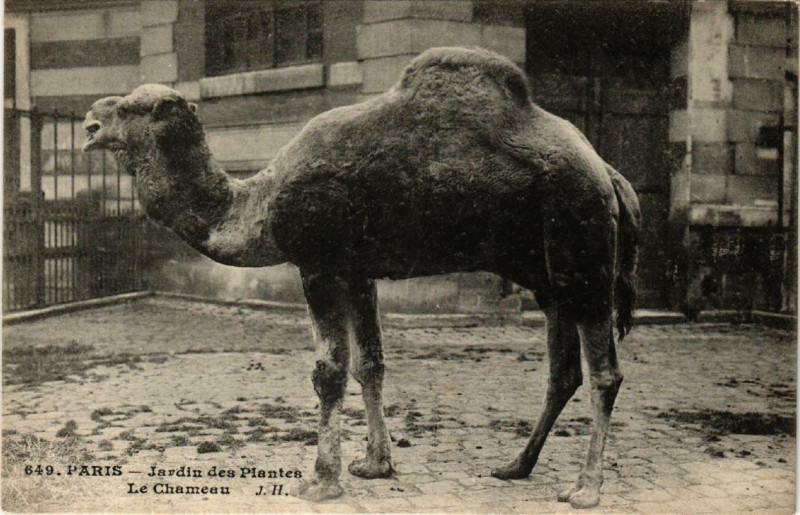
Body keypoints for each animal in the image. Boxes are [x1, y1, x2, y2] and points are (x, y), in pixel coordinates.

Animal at [82, 47, 640, 509]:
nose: (89, 121)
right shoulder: (358, 271)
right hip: (551, 277)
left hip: (582, 249)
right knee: (562, 372)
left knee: (604, 373)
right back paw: (515, 466)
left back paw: (586, 488)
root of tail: (610, 174)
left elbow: (328, 371)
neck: (255, 204)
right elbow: (369, 364)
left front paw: (321, 481)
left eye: (128, 108)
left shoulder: (320, 263)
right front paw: (375, 465)